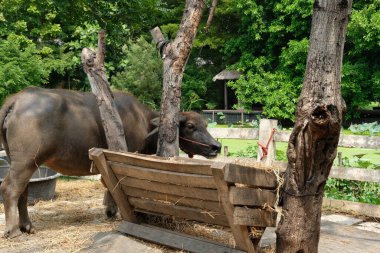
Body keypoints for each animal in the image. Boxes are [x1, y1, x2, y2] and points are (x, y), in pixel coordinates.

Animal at [0, 86, 221, 237]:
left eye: (205, 124)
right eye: (190, 126)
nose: (216, 146)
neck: (143, 121)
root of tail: (17, 100)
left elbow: (108, 183)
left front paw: (109, 209)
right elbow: (117, 184)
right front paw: (117, 210)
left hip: (20, 161)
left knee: (23, 191)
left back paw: (27, 226)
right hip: (26, 161)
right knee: (10, 188)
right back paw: (13, 230)